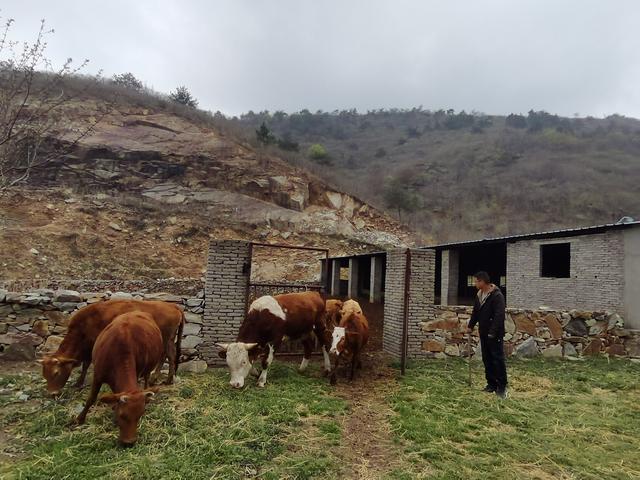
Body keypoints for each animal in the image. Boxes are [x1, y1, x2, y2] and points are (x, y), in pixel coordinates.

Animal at [41, 300, 184, 394]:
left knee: (169, 355)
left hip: (166, 339)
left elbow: (86, 364)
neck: (85, 325)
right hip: (167, 339)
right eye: (44, 374)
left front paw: (79, 382)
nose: (52, 393)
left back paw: (168, 379)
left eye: (56, 373)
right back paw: (157, 378)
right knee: (165, 355)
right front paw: (79, 382)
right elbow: (85, 366)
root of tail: (172, 305)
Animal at [74, 312, 164, 446]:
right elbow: (91, 398)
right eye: (122, 415)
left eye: (139, 416)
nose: (129, 443)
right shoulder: (98, 375)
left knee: (147, 378)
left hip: (148, 367)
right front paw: (80, 419)